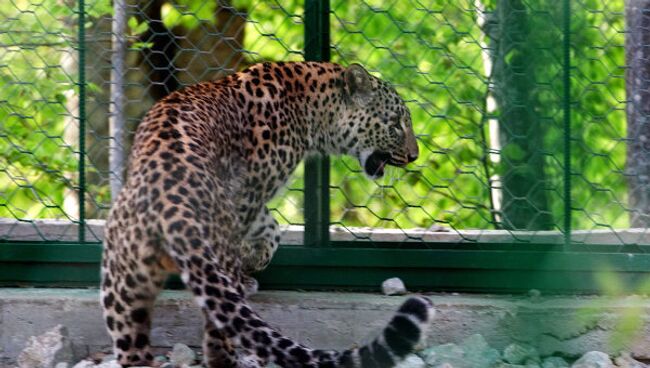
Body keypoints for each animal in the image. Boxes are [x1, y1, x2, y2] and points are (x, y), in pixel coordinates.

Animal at [100, 61, 430, 368]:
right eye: (396, 125)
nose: (414, 156)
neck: (313, 107)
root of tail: (170, 205)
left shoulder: (248, 200)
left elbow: (271, 229)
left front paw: (254, 261)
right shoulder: (249, 192)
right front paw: (248, 272)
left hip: (121, 283)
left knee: (132, 347)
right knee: (217, 334)